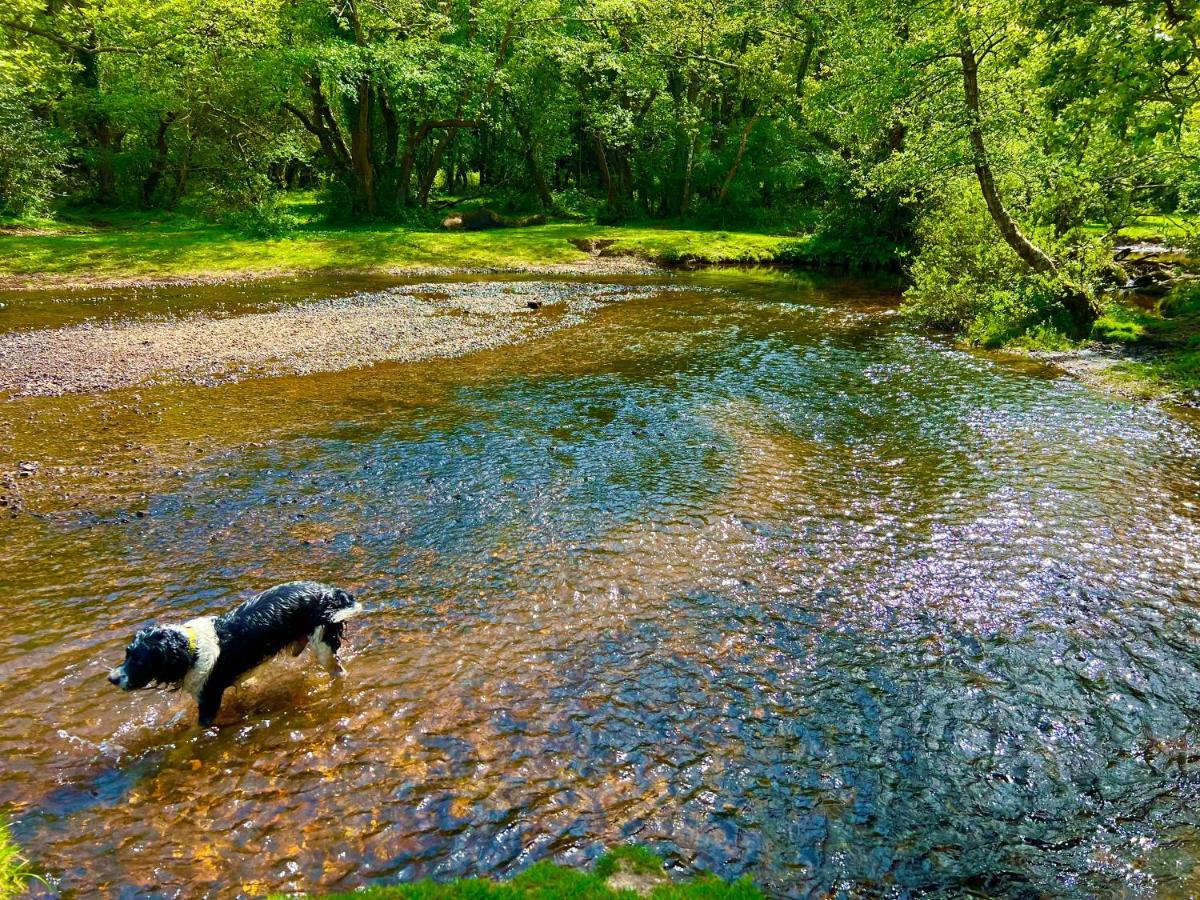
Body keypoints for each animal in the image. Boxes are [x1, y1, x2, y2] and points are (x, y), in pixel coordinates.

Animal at [108, 585, 360, 724]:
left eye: (140, 661)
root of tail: (333, 592)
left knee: (339, 672)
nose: (111, 678)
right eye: (127, 653)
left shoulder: (209, 700)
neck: (190, 649)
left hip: (324, 648)